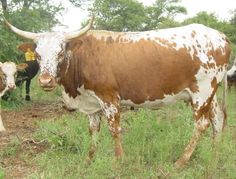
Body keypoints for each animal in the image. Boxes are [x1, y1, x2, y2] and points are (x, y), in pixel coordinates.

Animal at [5, 17, 230, 167]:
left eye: (60, 52)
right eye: (38, 54)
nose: (45, 81)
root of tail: (220, 36)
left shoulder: (109, 98)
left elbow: (114, 130)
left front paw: (120, 161)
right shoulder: (92, 103)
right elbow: (93, 131)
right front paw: (89, 160)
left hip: (202, 91)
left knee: (201, 124)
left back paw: (181, 161)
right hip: (210, 93)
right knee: (217, 119)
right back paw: (215, 156)